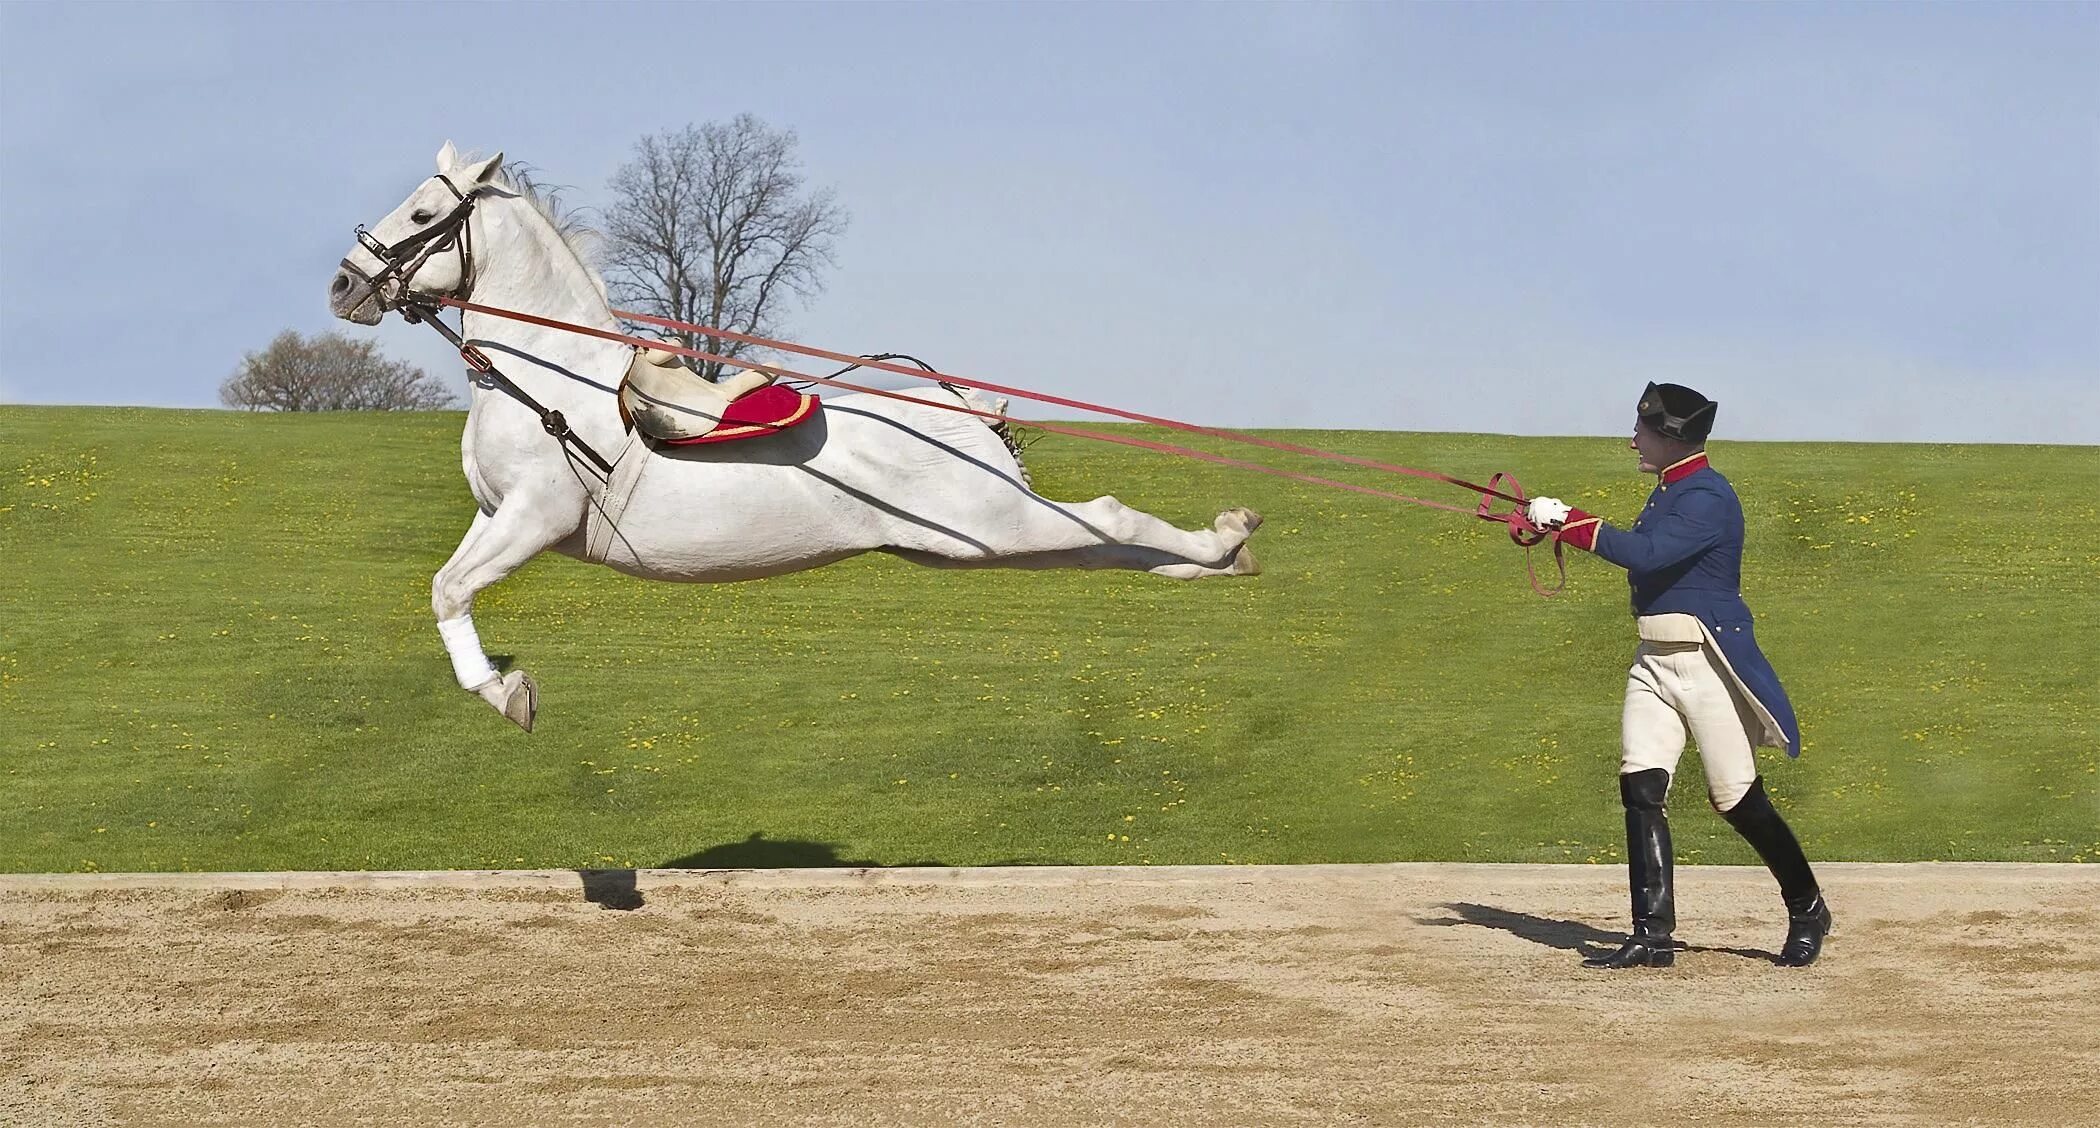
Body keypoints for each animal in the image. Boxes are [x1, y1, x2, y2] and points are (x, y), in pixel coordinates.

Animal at [327, 142, 1260, 730]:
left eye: (421, 211)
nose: (344, 285)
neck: (554, 376)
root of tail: (965, 407)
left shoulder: (537, 517)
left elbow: (451, 591)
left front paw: (510, 696)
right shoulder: (494, 517)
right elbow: (446, 587)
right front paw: (502, 690)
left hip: (997, 525)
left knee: (1110, 516)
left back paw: (1226, 539)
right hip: (973, 544)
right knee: (1109, 544)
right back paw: (1219, 558)